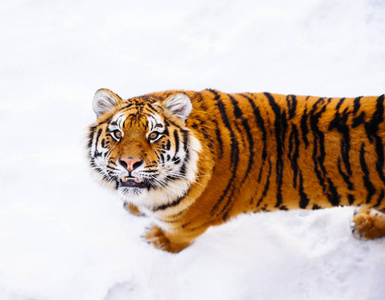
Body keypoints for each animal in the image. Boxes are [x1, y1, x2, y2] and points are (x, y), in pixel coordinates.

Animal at [88, 88, 384, 253]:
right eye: (117, 133)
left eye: (153, 135)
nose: (129, 163)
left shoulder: (192, 224)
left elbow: (177, 237)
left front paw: (157, 240)